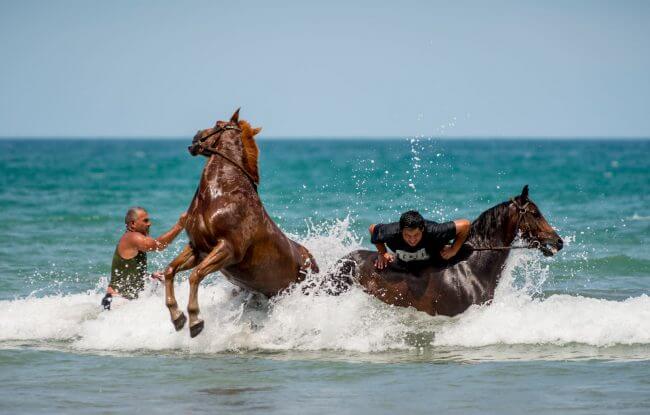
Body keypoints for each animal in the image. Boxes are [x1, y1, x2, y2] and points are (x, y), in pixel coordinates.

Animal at [163, 109, 318, 338]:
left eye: (217, 124)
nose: (194, 139)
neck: (223, 194)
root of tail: (313, 262)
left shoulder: (228, 249)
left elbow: (195, 275)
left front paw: (195, 321)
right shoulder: (198, 248)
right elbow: (170, 270)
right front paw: (177, 317)